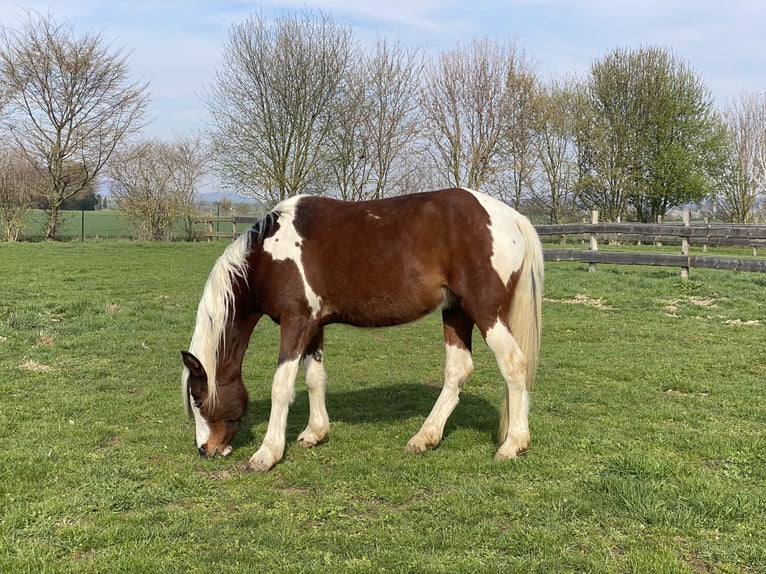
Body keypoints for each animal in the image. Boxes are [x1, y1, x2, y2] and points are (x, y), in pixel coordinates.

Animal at [181, 188, 544, 472]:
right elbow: (314, 378)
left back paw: (513, 445)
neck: (268, 257)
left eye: (198, 400)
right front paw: (315, 433)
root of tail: (512, 217)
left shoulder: (295, 322)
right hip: (456, 311)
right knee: (458, 370)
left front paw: (267, 453)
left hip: (485, 311)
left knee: (514, 365)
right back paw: (424, 438)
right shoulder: (314, 325)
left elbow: (281, 387)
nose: (205, 449)